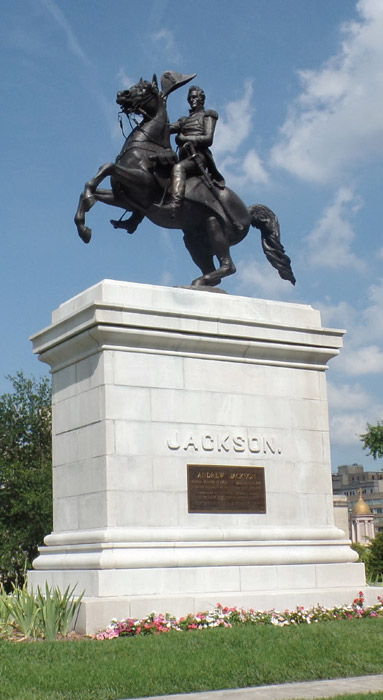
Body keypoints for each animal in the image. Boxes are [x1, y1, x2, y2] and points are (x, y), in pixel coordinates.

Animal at [75, 72, 296, 288]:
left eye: (146, 88)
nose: (122, 94)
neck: (146, 147)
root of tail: (248, 212)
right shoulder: (126, 199)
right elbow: (93, 187)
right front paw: (83, 227)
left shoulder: (142, 183)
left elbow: (107, 167)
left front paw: (87, 209)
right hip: (193, 238)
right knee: (211, 268)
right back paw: (201, 282)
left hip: (215, 225)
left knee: (229, 265)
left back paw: (203, 279)